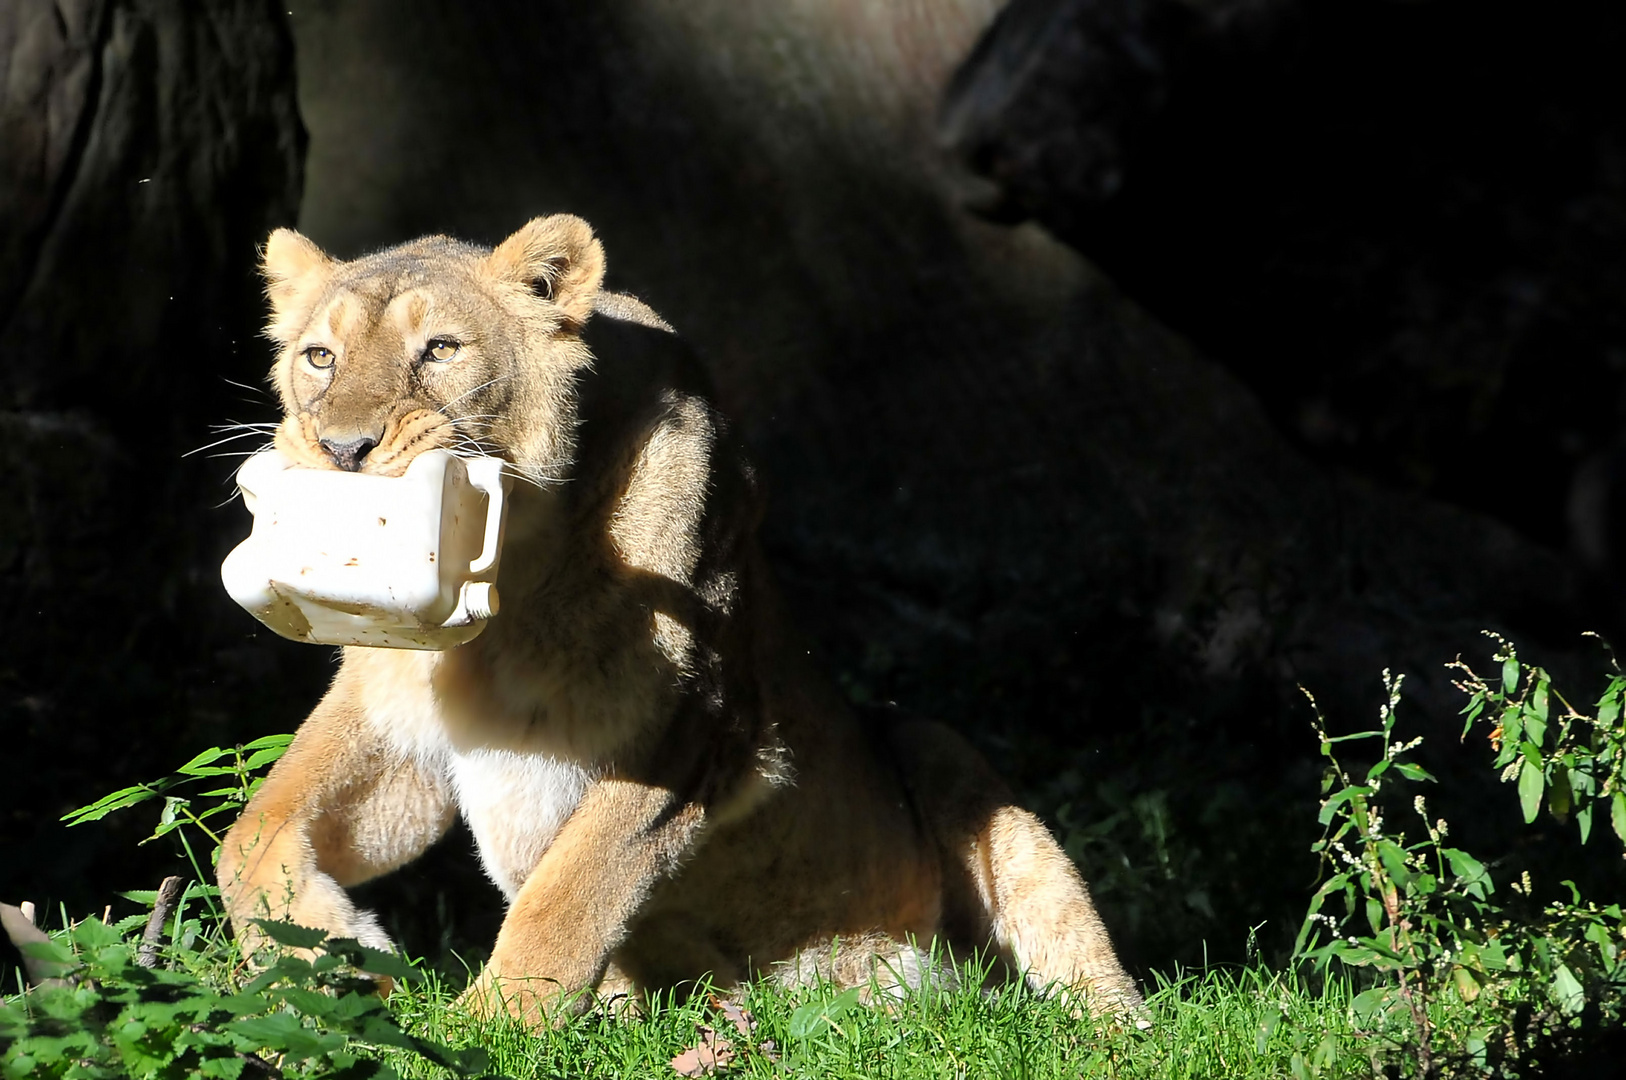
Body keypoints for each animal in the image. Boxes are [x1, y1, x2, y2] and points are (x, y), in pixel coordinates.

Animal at [216, 214, 1144, 1027]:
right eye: (320, 357)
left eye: (441, 348)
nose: (341, 449)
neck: (510, 591)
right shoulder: (395, 720)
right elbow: (250, 833)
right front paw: (335, 959)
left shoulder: (695, 727)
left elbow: (568, 896)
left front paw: (484, 1031)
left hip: (949, 760)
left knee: (1091, 981)